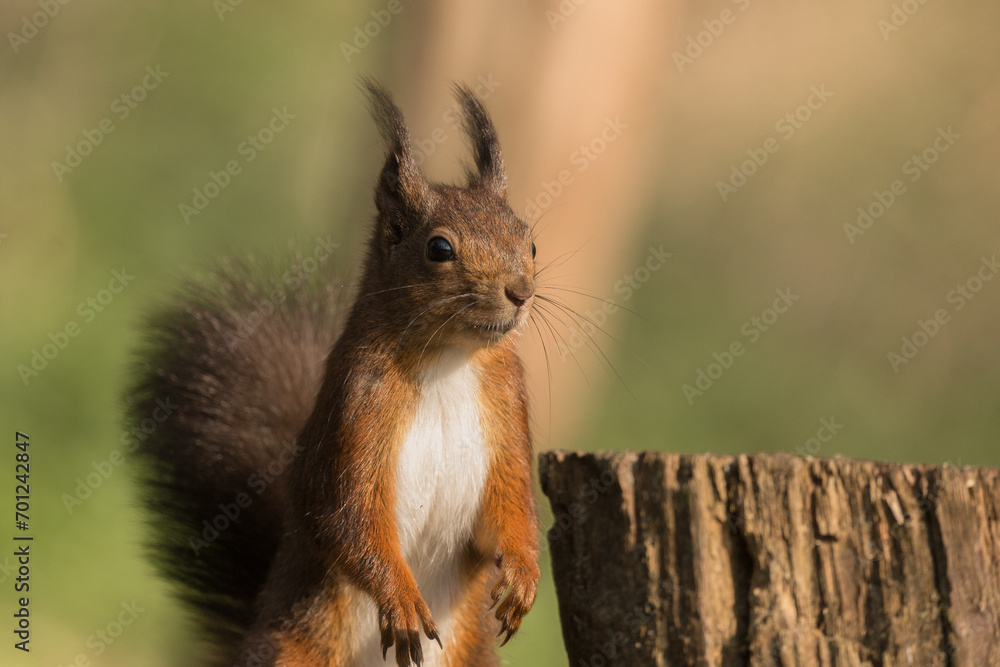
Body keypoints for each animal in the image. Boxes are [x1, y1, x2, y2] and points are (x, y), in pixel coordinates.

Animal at [129, 80, 541, 667]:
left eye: (530, 241)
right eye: (439, 248)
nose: (521, 291)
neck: (450, 358)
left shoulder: (508, 409)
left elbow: (511, 509)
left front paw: (523, 576)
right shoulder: (355, 406)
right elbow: (347, 518)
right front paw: (401, 599)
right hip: (296, 643)